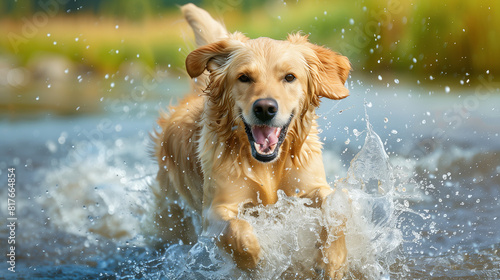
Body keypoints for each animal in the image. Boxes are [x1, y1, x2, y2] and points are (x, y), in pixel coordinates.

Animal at [152, 3, 352, 278]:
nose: (265, 108)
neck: (266, 167)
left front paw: (332, 260)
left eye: (290, 77)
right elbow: (239, 231)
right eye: (244, 77)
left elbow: (337, 205)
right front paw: (257, 262)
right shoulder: (214, 211)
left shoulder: (311, 185)